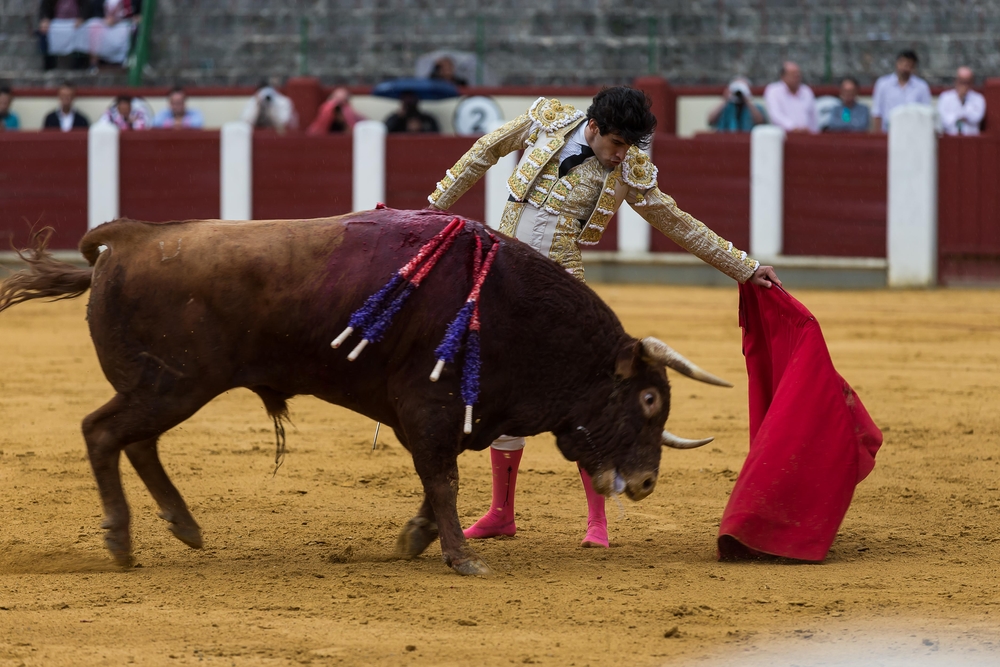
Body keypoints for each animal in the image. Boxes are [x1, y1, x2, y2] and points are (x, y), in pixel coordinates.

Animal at [0, 209, 728, 576]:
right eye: (649, 401)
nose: (646, 483)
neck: (514, 309)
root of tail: (126, 237)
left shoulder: (454, 416)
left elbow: (440, 482)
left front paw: (416, 539)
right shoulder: (431, 409)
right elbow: (443, 480)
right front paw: (463, 559)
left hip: (168, 387)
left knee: (137, 443)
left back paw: (184, 526)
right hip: (170, 385)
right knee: (103, 433)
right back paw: (122, 541)